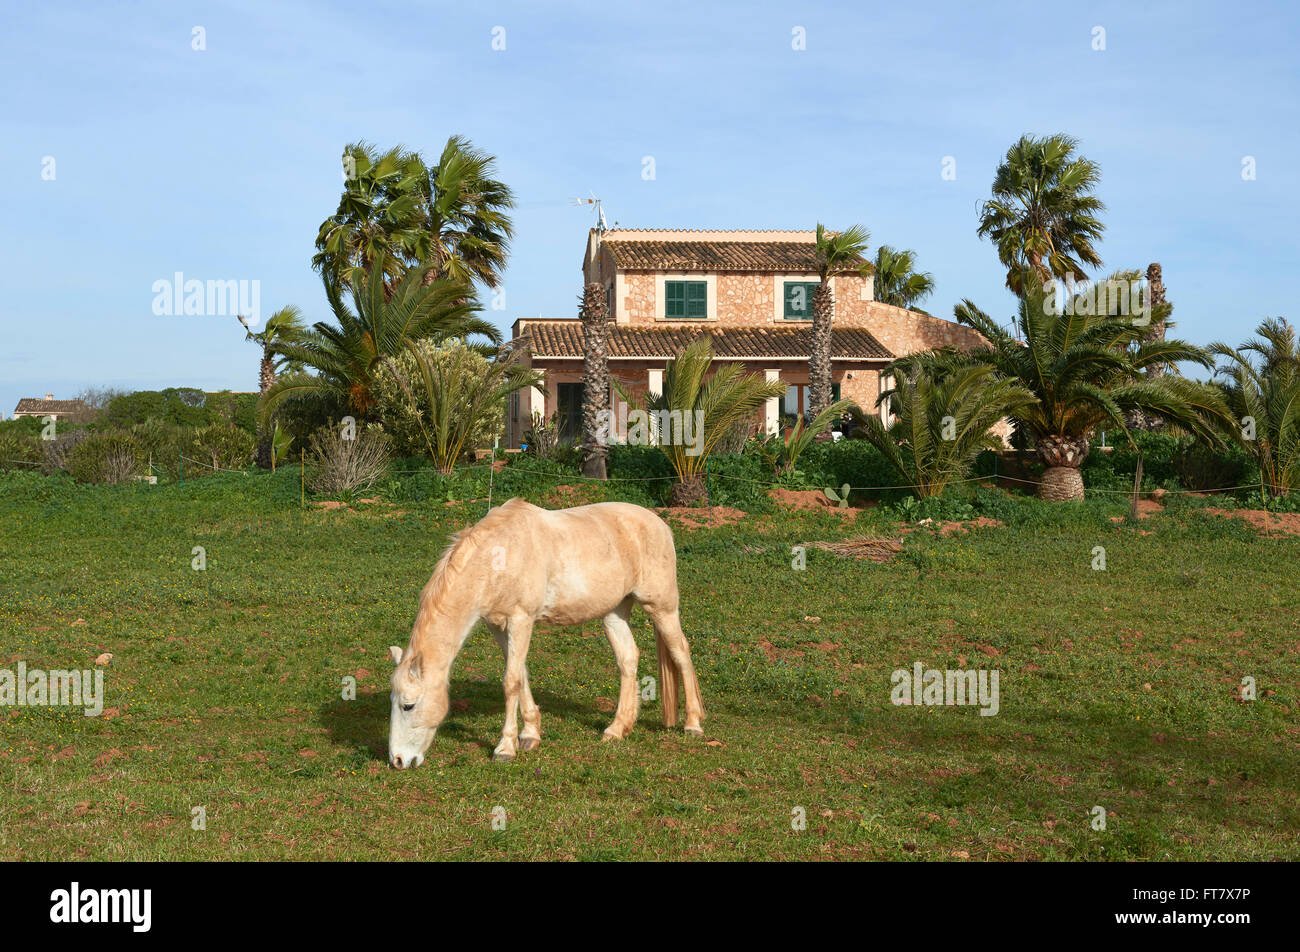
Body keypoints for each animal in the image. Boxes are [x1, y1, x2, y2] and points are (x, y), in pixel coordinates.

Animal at [387, 499, 702, 764]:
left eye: (408, 705)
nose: (398, 760)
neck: (499, 557)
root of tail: (659, 524)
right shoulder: (498, 625)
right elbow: (520, 673)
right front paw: (530, 735)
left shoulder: (521, 619)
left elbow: (511, 681)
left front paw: (505, 748)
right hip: (614, 613)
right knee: (628, 659)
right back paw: (616, 729)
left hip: (662, 608)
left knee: (681, 653)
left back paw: (693, 724)